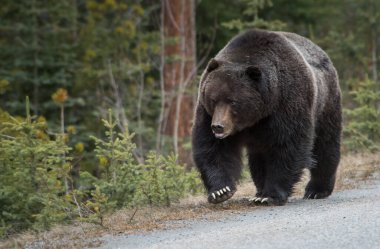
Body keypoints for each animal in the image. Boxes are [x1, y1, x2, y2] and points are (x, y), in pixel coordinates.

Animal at [191, 29, 342, 205]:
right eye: (213, 99)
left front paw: (271, 195)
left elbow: (288, 145)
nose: (218, 127)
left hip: (325, 103)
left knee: (325, 144)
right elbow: (212, 147)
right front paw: (221, 191)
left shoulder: (287, 102)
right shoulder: (208, 114)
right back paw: (259, 191)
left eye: (233, 101)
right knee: (258, 157)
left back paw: (316, 190)